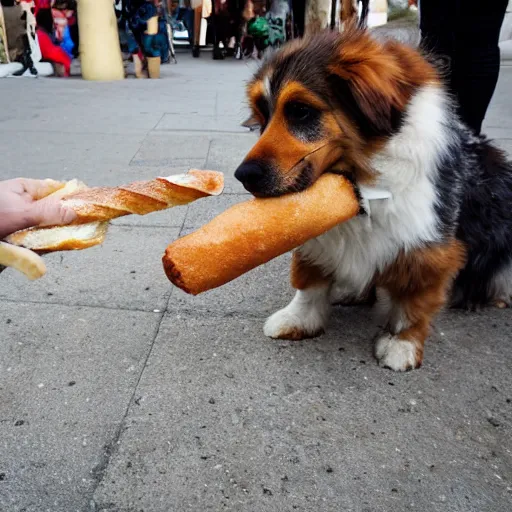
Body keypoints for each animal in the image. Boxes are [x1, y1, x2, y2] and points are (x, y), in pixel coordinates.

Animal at [237, 28, 512, 370]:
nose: (242, 175)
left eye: (300, 111)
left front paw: (402, 343)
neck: (358, 184)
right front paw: (298, 318)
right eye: (262, 115)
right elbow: (309, 281)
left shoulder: (429, 245)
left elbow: (414, 299)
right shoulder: (316, 236)